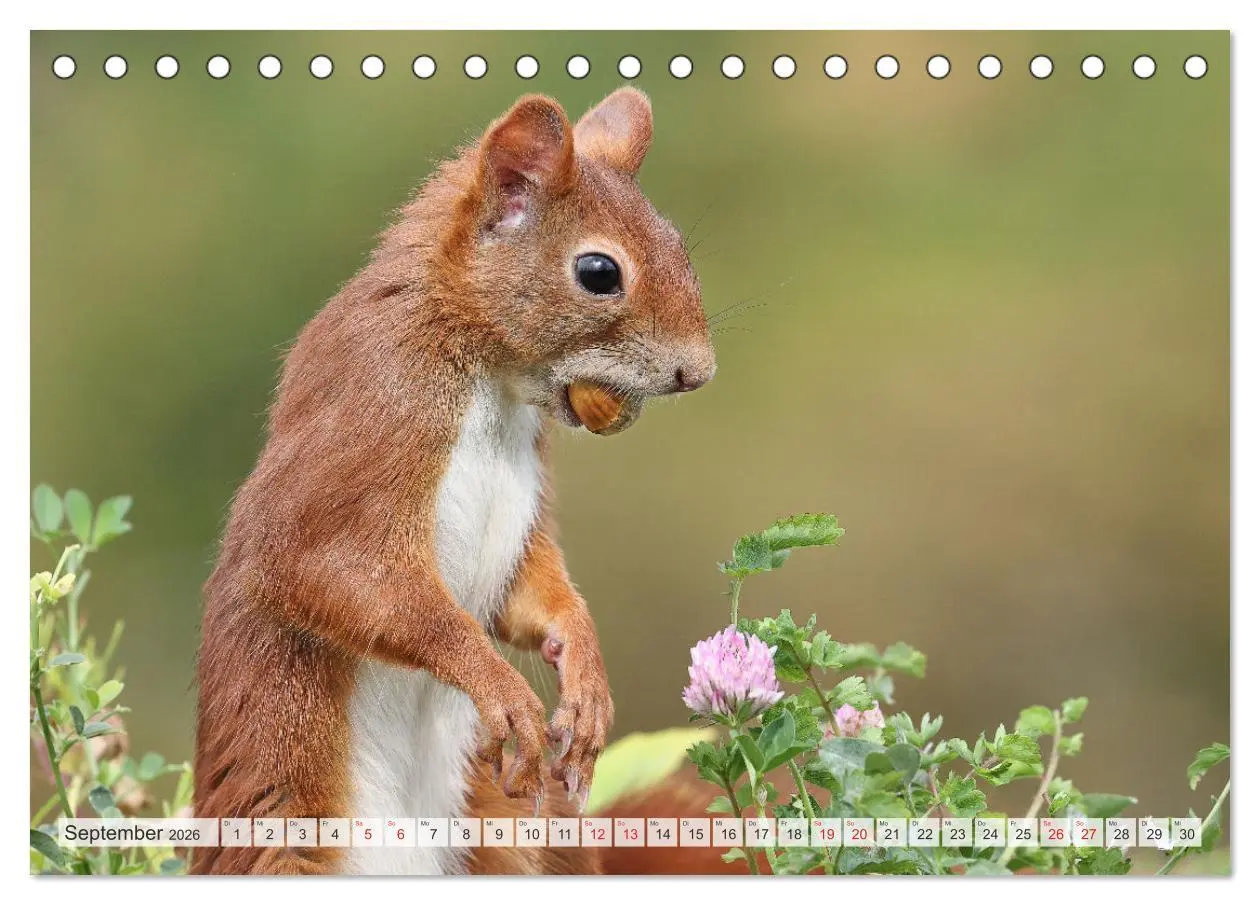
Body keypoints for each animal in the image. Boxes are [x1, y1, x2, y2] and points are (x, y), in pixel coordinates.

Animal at [193, 88, 717, 875]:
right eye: (599, 272)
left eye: (678, 243)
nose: (699, 371)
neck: (489, 378)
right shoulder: (373, 412)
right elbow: (326, 570)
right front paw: (498, 686)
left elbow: (532, 591)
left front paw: (585, 673)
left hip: (523, 824)